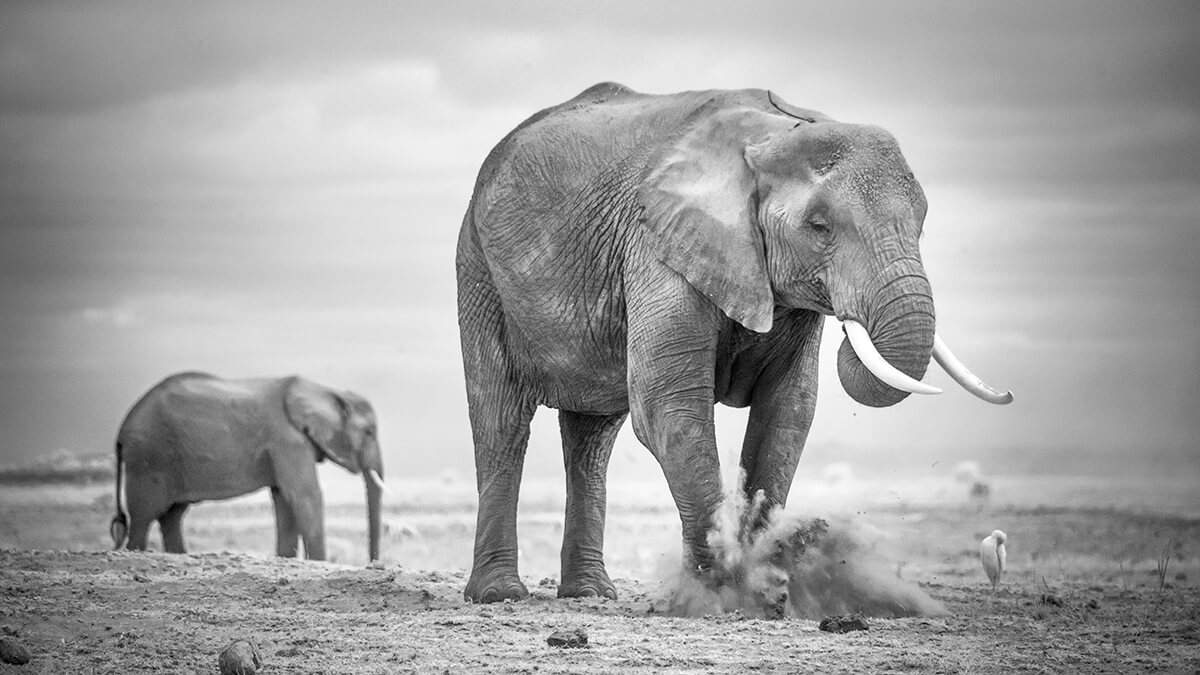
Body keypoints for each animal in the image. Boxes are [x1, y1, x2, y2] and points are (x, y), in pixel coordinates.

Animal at [109, 369, 388, 559]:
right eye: (369, 432)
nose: (374, 563)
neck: (326, 391)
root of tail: (121, 433)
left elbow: (285, 500)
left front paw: (285, 559)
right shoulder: (287, 440)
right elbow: (305, 496)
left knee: (172, 515)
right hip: (149, 458)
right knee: (144, 516)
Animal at [458, 81, 1012, 600]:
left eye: (922, 223)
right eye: (819, 225)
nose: (852, 325)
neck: (776, 134)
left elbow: (787, 410)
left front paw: (766, 580)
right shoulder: (657, 244)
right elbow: (669, 406)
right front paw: (720, 591)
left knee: (592, 439)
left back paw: (591, 593)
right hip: (480, 268)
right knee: (502, 421)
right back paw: (500, 594)